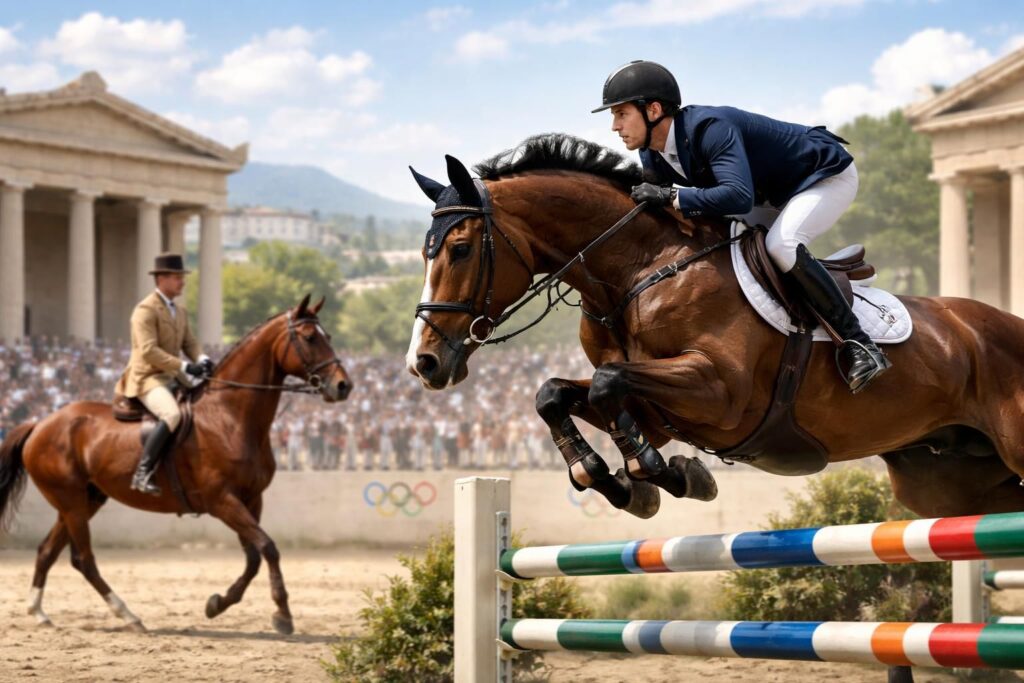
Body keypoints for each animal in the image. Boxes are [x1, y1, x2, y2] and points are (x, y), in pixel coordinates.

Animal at [0, 294, 352, 635]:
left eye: (329, 336)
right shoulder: (222, 500)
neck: (229, 416)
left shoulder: (252, 498)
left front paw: (218, 604)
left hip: (85, 500)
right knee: (83, 559)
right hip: (71, 502)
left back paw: (40, 613)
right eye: (309, 338)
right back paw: (129, 616)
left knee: (48, 551)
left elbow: (253, 556)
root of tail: (40, 424)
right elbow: (268, 547)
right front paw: (282, 614)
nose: (343, 386)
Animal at [404, 134, 1024, 522]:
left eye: (459, 249)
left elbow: (607, 383)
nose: (423, 363)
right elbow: (556, 393)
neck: (639, 270)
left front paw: (657, 474)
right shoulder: (657, 409)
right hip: (942, 482)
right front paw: (616, 480)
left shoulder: (720, 392)